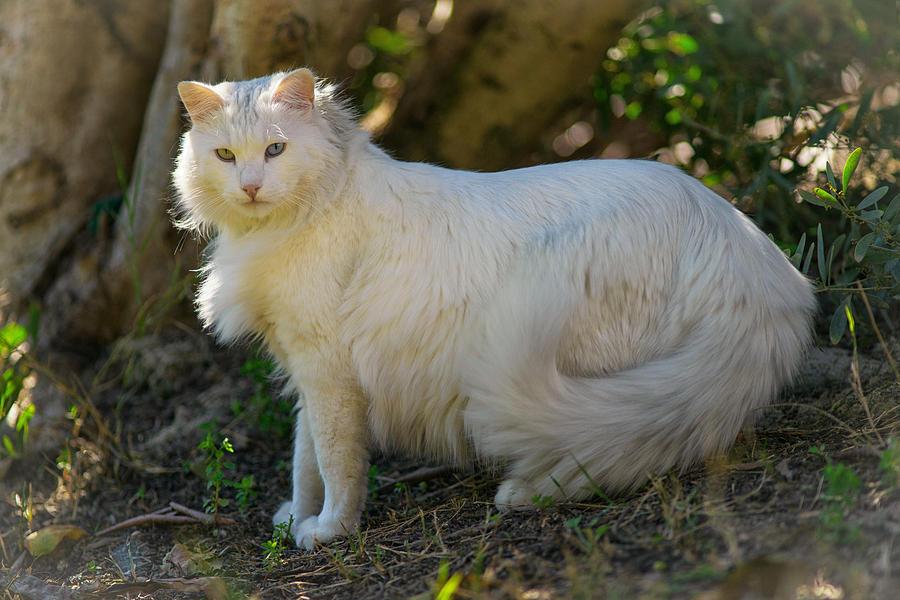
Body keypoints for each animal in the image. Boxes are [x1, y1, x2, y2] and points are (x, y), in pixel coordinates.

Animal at [172, 69, 820, 548]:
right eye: (226, 156)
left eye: (275, 149)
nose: (251, 186)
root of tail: (745, 248)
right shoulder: (306, 372)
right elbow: (304, 456)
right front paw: (296, 516)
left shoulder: (329, 371)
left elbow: (336, 461)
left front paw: (330, 529)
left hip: (589, 374)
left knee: (592, 445)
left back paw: (522, 495)